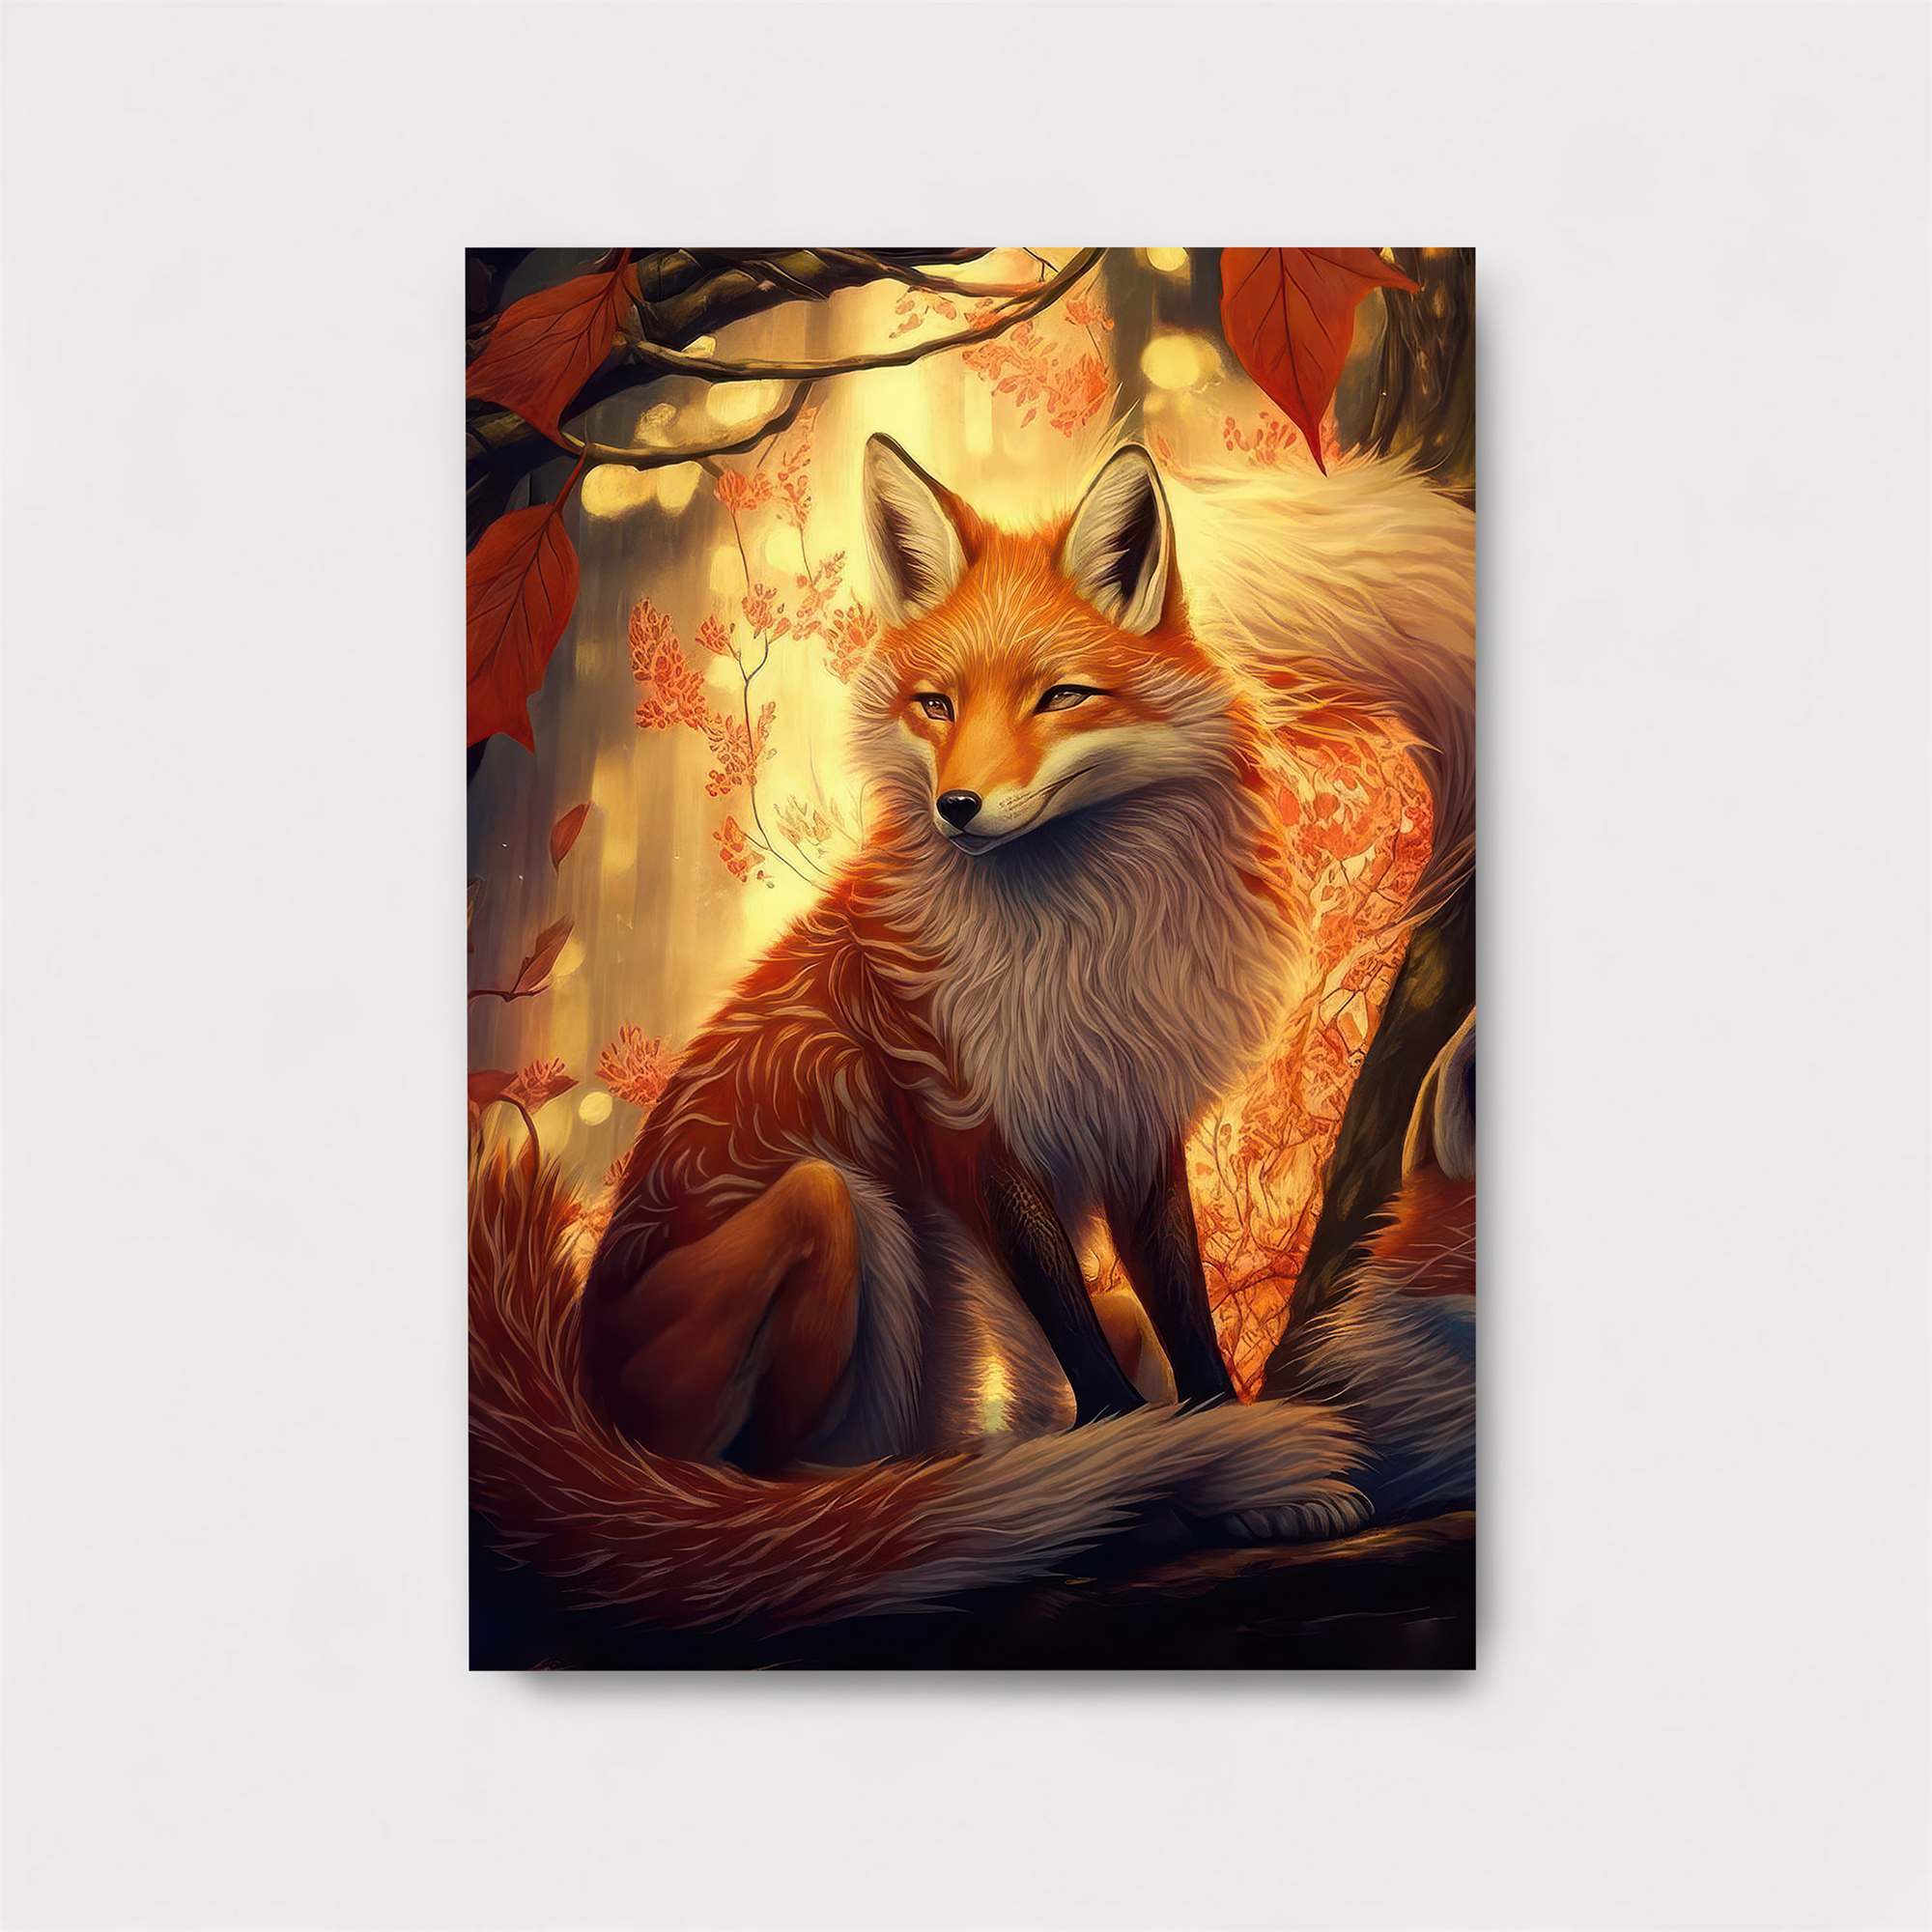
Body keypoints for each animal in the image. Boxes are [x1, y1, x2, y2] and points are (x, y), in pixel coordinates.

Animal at [469, 433, 1475, 1633]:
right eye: (935, 705)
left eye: (1060, 697)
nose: (957, 807)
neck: (1076, 943)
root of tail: (592, 1409)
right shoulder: (964, 1121)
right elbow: (1084, 1355)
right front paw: (1159, 1488)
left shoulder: (1133, 1124)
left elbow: (1182, 1316)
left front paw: (1227, 1455)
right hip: (835, 1202)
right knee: (776, 1493)